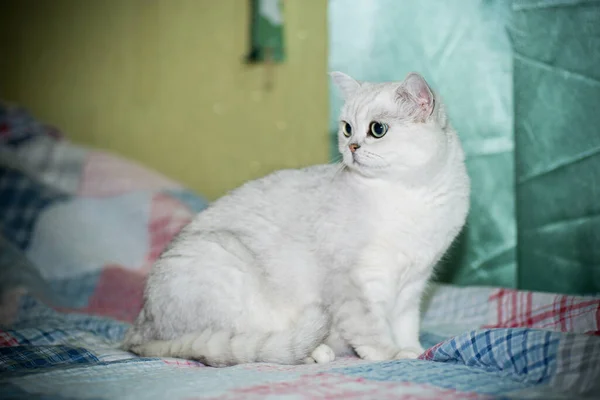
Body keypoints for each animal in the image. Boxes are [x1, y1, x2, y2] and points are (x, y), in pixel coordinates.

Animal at [122, 71, 468, 366]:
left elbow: (407, 326)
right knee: (248, 346)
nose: (352, 147)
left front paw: (417, 351)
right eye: (347, 128)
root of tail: (138, 330)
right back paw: (317, 352)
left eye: (377, 129)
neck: (410, 195)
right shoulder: (354, 282)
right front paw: (393, 354)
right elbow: (371, 330)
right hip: (224, 271)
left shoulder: (413, 284)